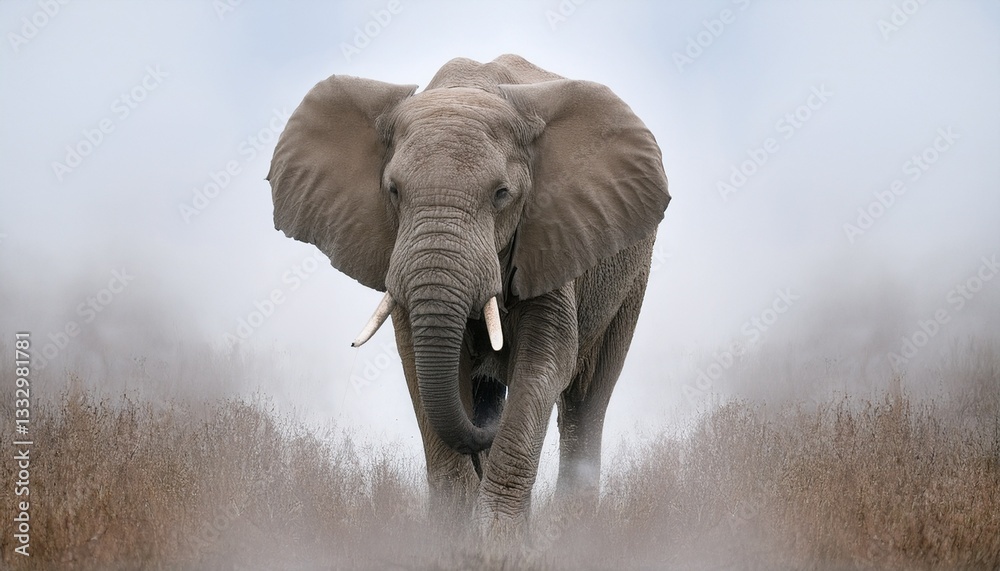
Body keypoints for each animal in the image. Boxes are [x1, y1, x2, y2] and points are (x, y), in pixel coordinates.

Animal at [267, 54, 670, 536]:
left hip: (630, 275)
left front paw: (497, 537)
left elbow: (546, 359)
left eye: (501, 194)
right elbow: (418, 365)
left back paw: (576, 525)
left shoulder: (550, 235)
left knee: (587, 396)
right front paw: (451, 531)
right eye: (393, 191)